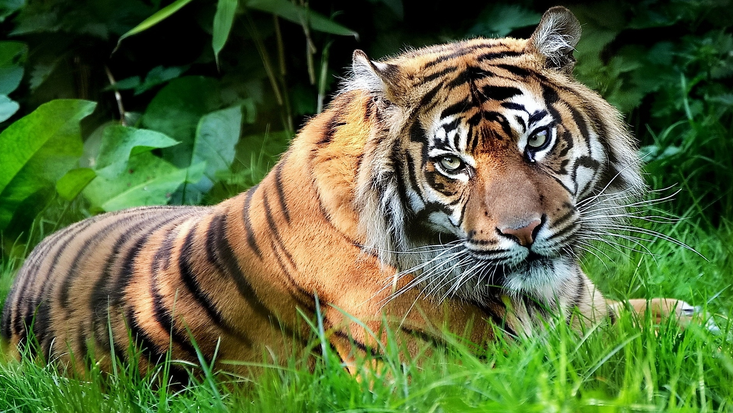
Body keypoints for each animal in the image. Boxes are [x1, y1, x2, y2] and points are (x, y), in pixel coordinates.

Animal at [1, 6, 696, 380]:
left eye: (539, 139)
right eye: (452, 163)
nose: (524, 233)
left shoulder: (591, 314)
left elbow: (684, 314)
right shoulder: (442, 375)